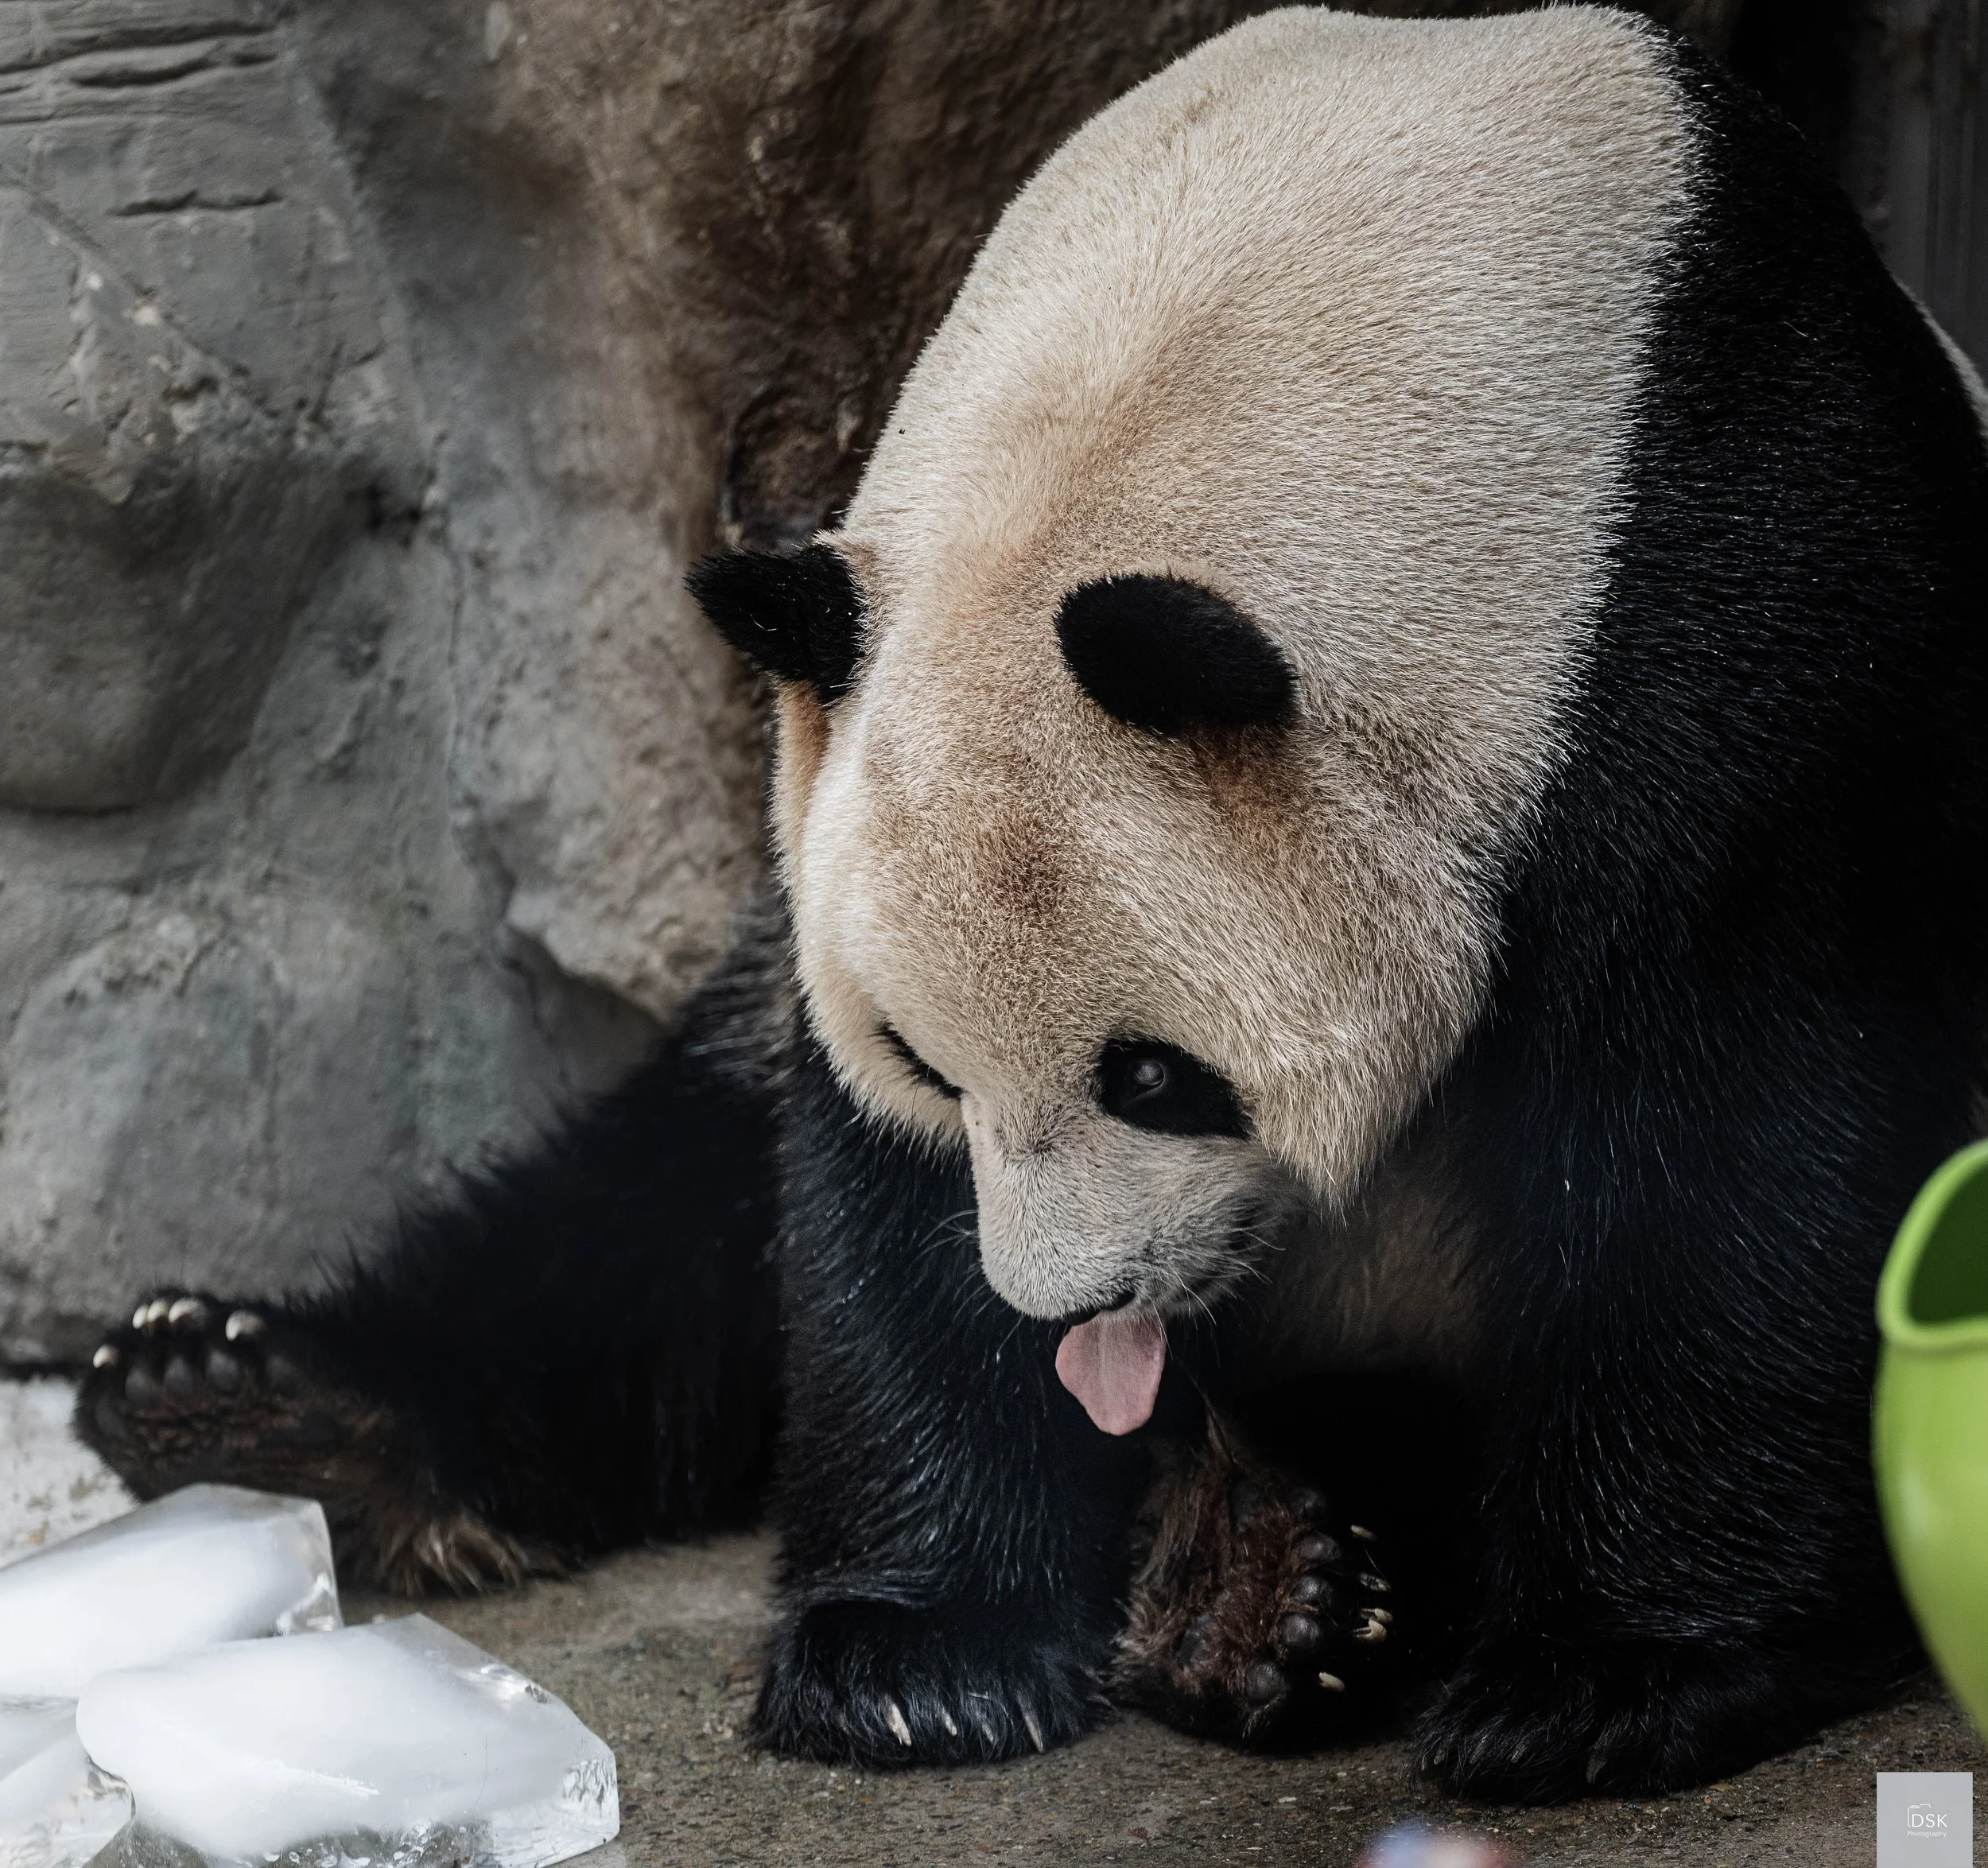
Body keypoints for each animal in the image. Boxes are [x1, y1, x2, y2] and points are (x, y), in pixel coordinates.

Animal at [78, 5, 1988, 1803]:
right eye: (928, 1061)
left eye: (1156, 1073)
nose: (1069, 1317)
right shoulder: (850, 782)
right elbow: (843, 1181)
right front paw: (916, 1652)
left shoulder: (1731, 624)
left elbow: (1734, 1125)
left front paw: (1608, 1680)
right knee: (650, 1202)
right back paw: (255, 1405)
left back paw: (1275, 1583)